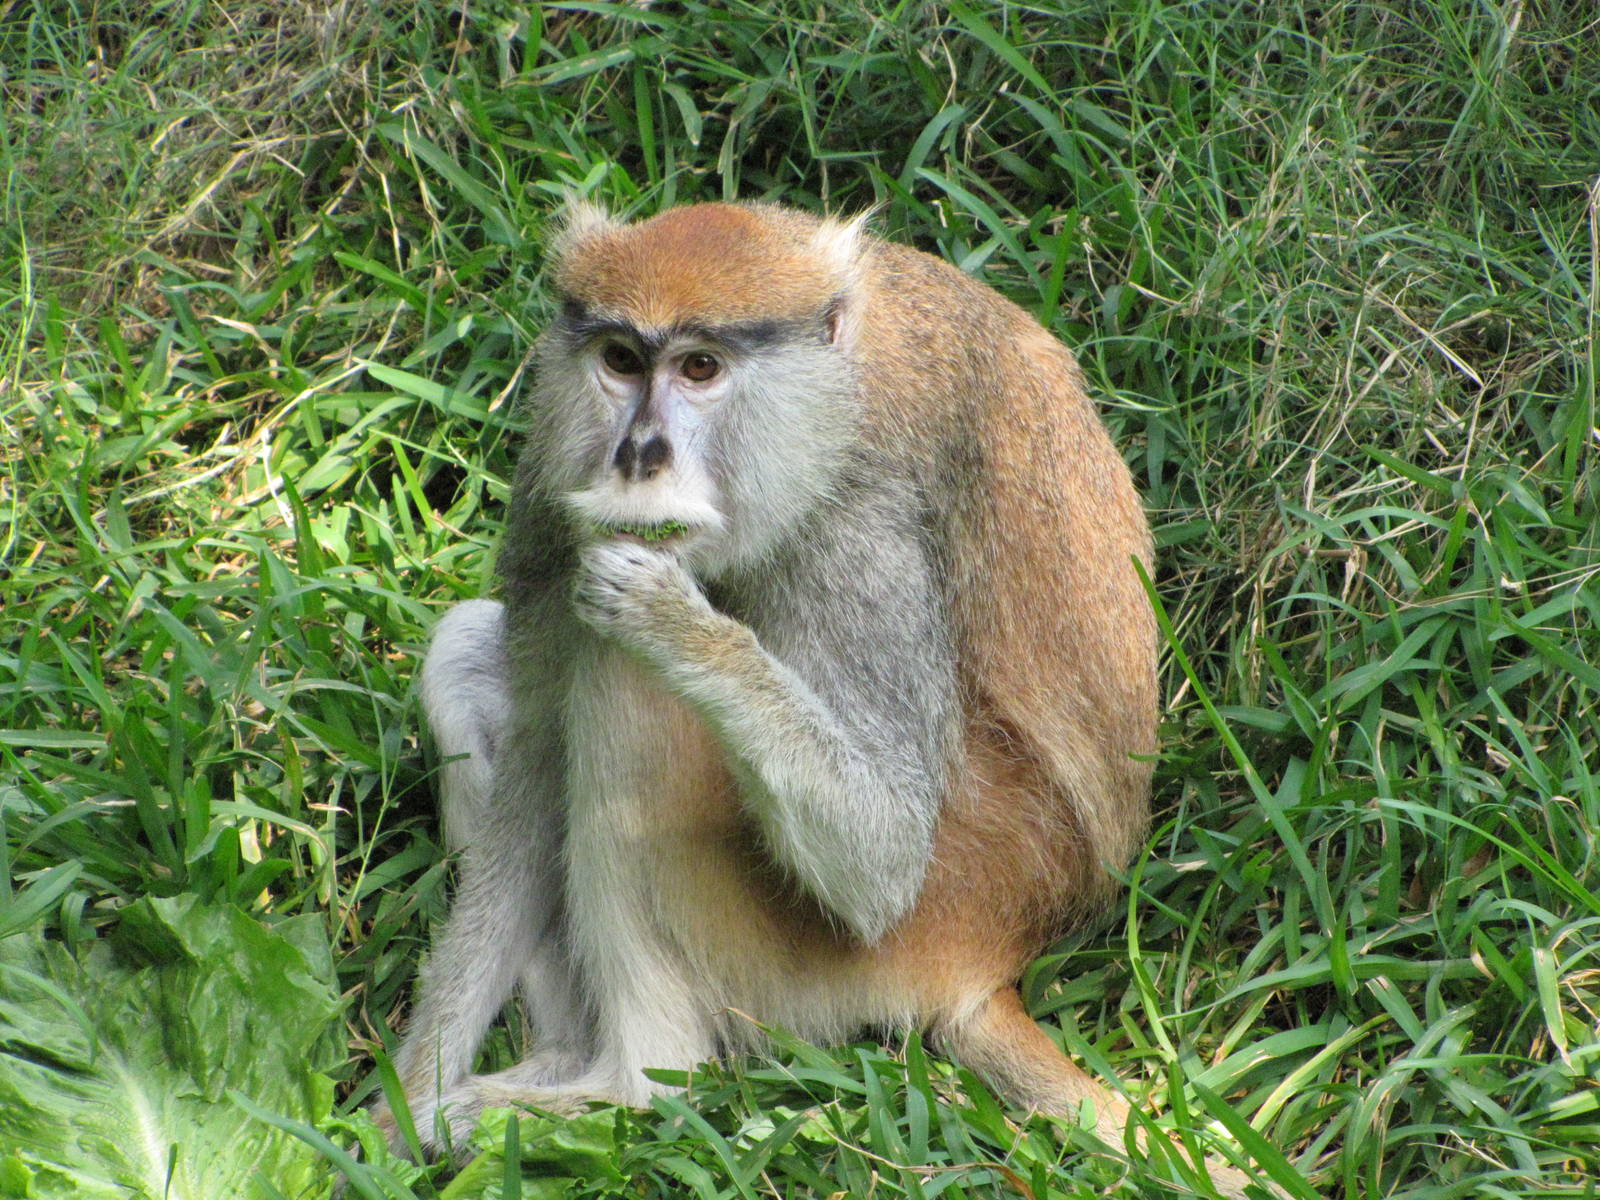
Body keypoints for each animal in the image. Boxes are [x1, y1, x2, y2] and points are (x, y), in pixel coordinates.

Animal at [381, 200, 1253, 1190]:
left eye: (701, 368)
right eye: (620, 360)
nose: (638, 456)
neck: (829, 389)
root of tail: (996, 950)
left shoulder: (855, 535)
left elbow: (878, 863)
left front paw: (677, 625)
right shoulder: (554, 488)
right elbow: (530, 777)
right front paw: (386, 1120)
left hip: (871, 936)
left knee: (620, 682)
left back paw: (628, 1089)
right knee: (464, 656)